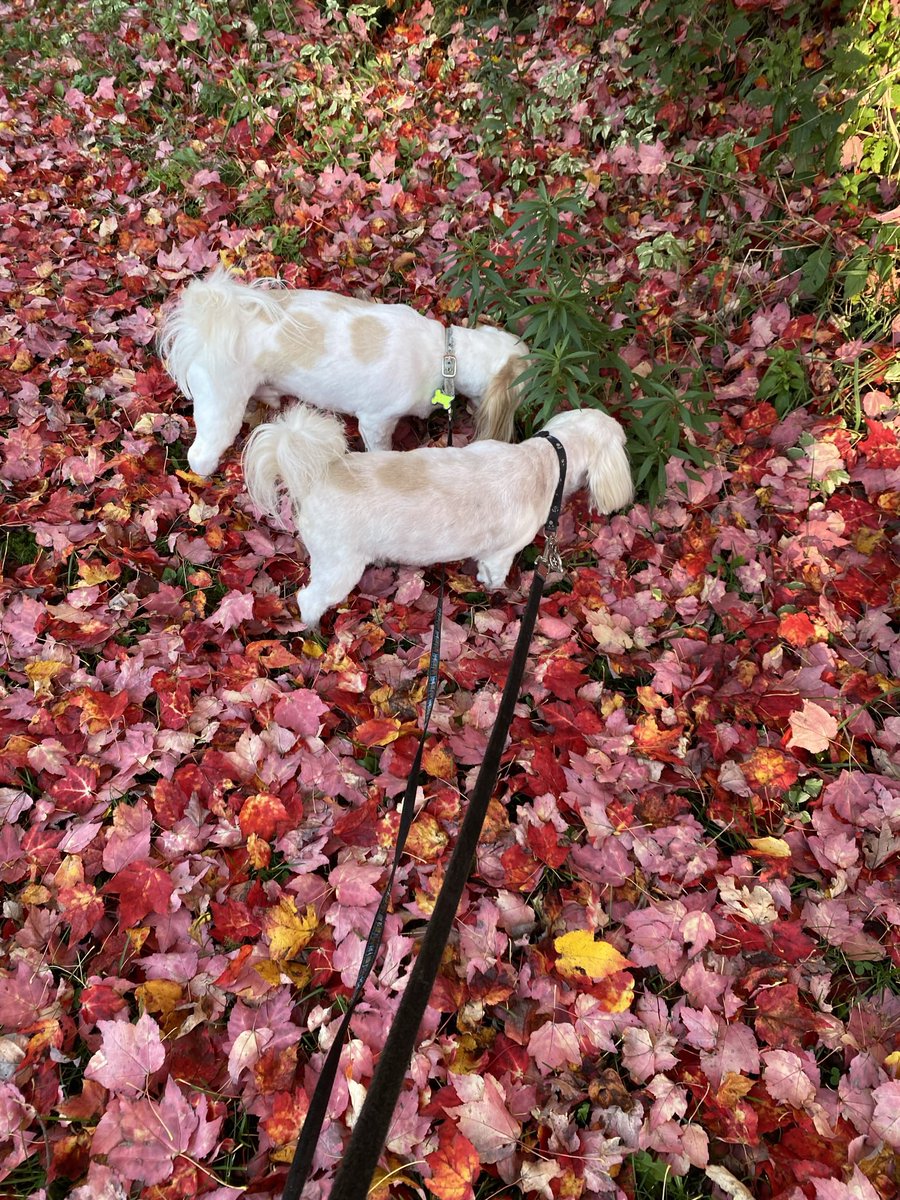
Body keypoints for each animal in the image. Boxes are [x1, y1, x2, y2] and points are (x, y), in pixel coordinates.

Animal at [158, 270, 532, 475]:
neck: (446, 356)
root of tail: (206, 322)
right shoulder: (377, 420)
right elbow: (380, 448)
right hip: (220, 404)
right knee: (200, 454)